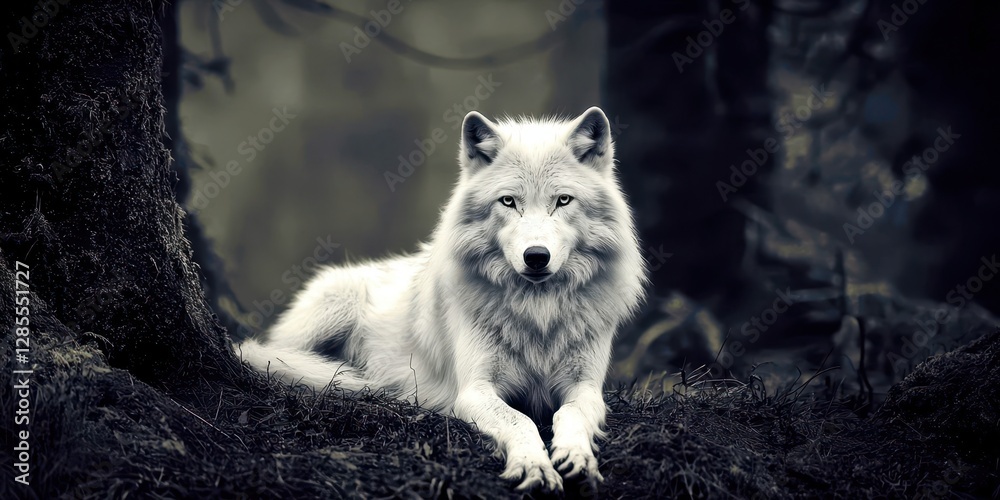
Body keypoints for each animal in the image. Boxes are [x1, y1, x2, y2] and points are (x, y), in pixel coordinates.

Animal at [235, 107, 647, 491]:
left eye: (563, 200)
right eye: (508, 202)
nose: (536, 256)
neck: (537, 312)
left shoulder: (587, 386)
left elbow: (572, 415)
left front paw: (576, 454)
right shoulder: (474, 391)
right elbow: (521, 420)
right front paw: (533, 464)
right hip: (331, 307)